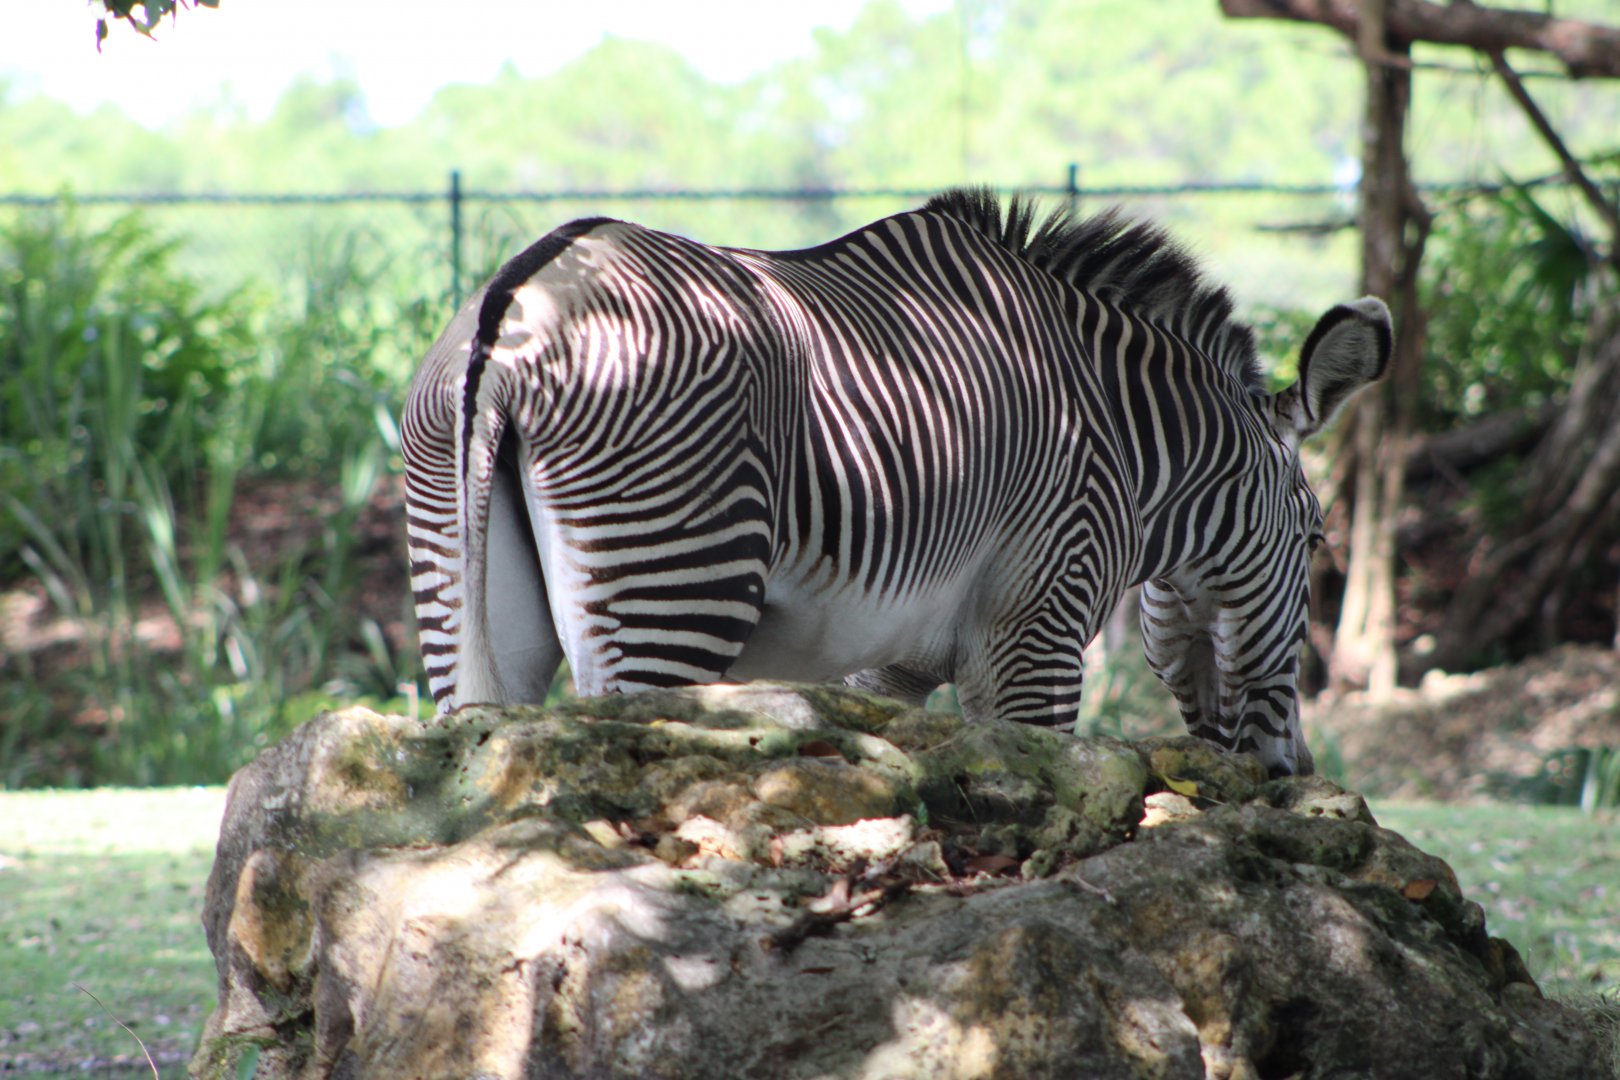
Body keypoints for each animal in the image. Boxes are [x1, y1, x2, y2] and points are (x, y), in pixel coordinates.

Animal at [402, 189, 1390, 777]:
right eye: (1316, 540)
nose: (1292, 772)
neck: (1121, 429)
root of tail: (516, 310)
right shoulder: (1037, 629)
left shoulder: (895, 659)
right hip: (670, 599)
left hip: (469, 614)